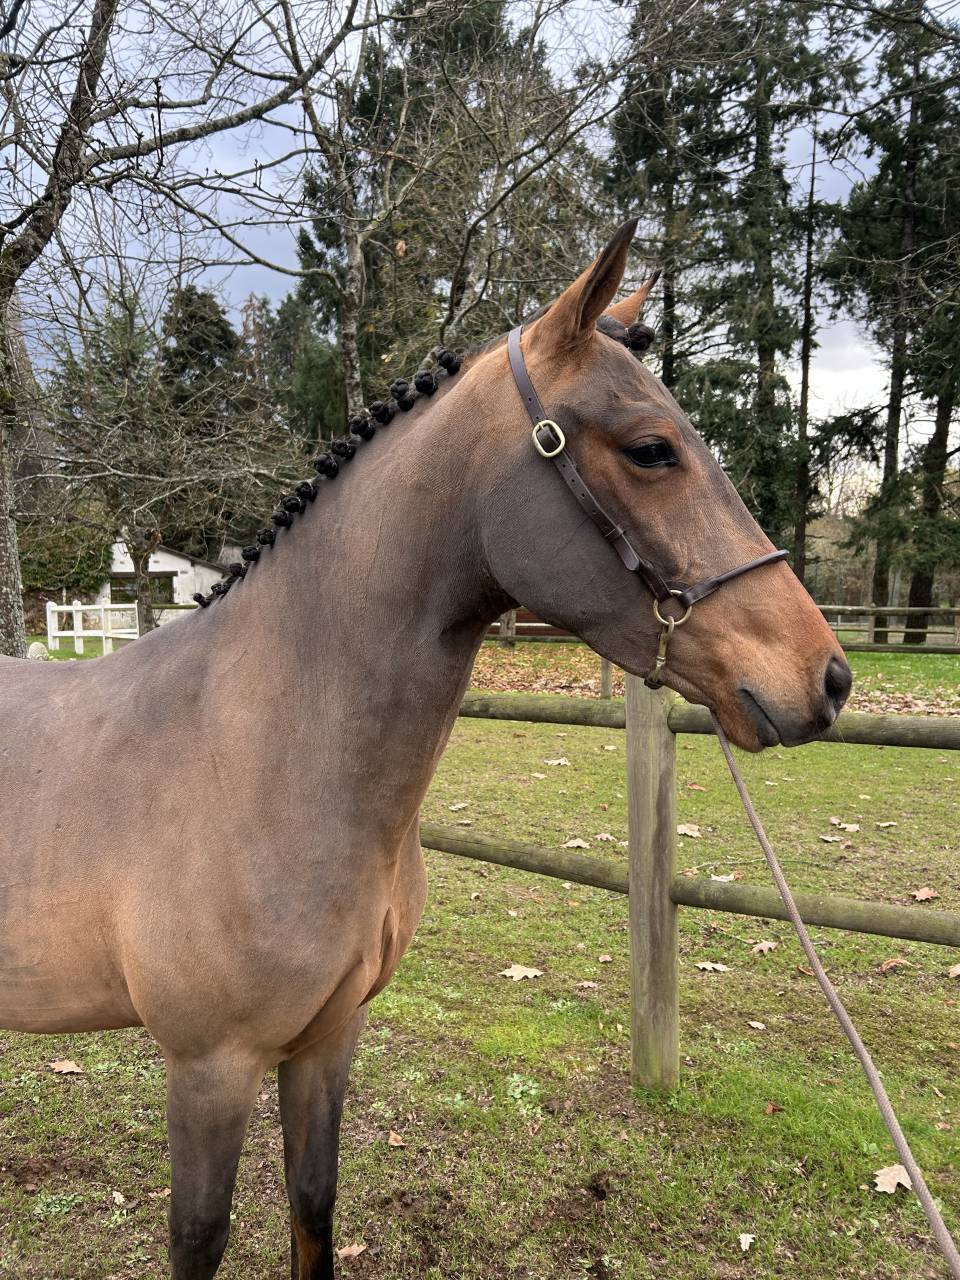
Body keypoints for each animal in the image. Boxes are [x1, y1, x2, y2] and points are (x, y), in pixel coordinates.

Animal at [0, 219, 851, 1279]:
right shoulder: (209, 1070)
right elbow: (199, 1238)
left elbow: (312, 1206)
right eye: (652, 449)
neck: (259, 756)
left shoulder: (328, 1043)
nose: (825, 677)